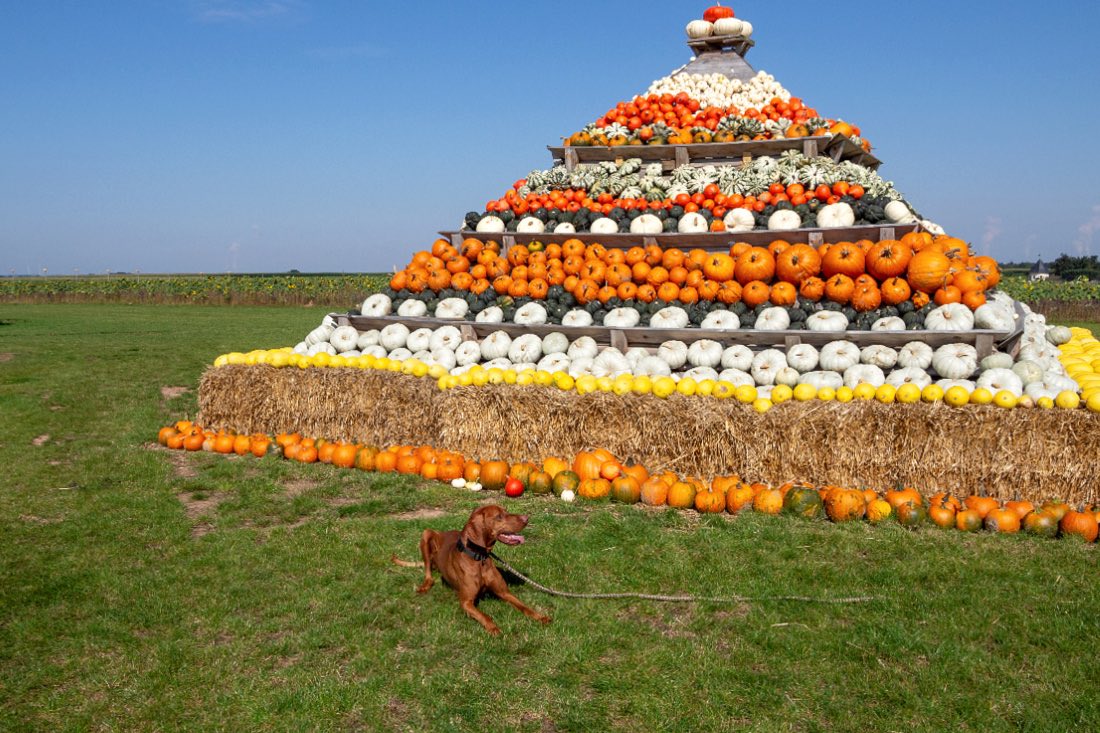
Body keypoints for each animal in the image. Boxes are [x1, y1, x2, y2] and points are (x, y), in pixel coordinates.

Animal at [413, 501, 550, 633]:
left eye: (506, 511)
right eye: (498, 516)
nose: (526, 518)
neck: (479, 558)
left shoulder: (505, 593)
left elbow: (524, 607)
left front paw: (540, 617)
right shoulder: (466, 602)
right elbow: (484, 616)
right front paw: (493, 628)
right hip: (426, 534)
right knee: (428, 571)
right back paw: (424, 586)